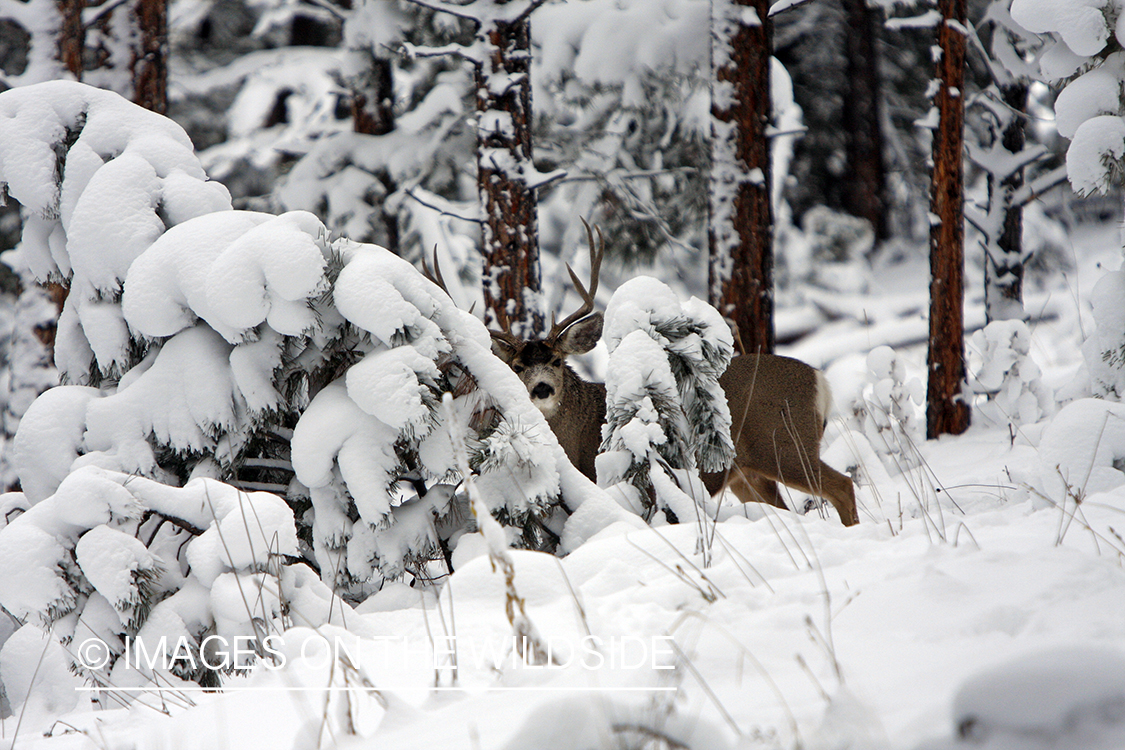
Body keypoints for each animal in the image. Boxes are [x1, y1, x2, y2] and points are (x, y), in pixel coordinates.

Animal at [431, 224, 859, 527]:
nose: (540, 389)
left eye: (555, 361)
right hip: (748, 472)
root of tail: (820, 382)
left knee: (843, 485)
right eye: (518, 367)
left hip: (785, 443)